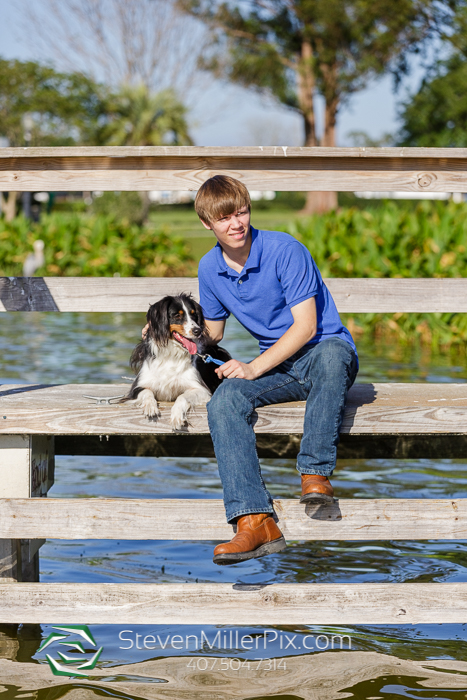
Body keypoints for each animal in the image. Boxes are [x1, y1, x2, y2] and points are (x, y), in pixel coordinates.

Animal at [119, 292, 231, 430]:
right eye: (177, 315)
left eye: (194, 315)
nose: (198, 331)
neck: (172, 354)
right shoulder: (136, 388)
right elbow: (147, 391)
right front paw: (150, 407)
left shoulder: (202, 390)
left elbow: (182, 396)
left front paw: (177, 417)